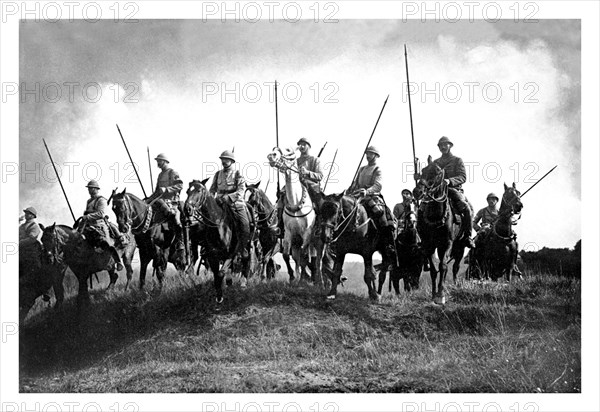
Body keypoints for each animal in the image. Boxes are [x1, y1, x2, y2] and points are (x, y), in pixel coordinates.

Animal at [266, 146, 314, 282]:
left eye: (288, 150)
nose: (271, 155)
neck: (296, 202)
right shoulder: (288, 233)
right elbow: (287, 256)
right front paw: (293, 277)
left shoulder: (307, 234)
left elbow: (304, 256)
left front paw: (303, 277)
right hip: (295, 241)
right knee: (296, 258)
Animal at [414, 156, 462, 304]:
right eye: (423, 170)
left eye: (437, 172)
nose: (418, 192)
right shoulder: (428, 245)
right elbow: (434, 270)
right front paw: (434, 294)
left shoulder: (447, 243)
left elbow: (443, 266)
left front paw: (441, 295)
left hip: (460, 246)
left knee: (454, 267)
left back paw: (455, 285)